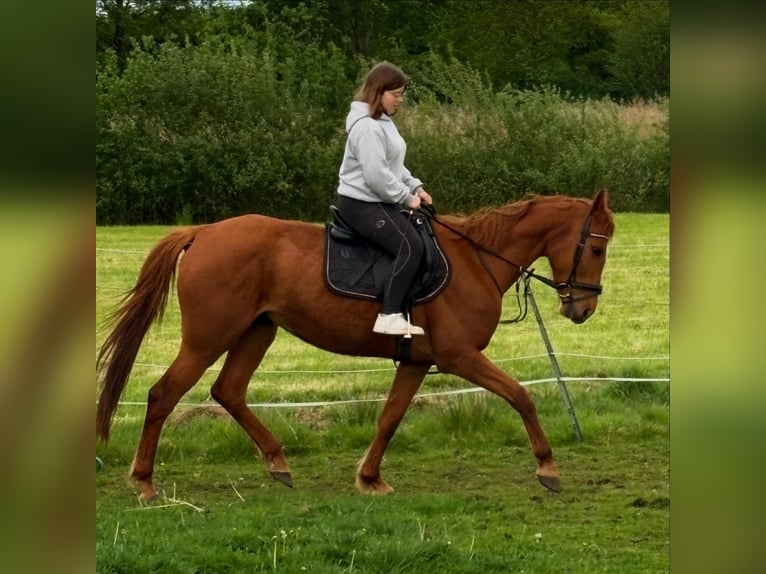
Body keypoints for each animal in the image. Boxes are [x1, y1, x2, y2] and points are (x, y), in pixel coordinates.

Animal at [97, 189, 614, 500]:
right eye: (595, 248)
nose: (583, 308)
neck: (476, 259)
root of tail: (203, 232)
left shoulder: (418, 362)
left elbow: (390, 418)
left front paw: (369, 477)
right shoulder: (459, 356)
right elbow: (521, 396)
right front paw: (548, 467)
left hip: (256, 331)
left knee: (229, 391)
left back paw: (277, 461)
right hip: (208, 338)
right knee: (164, 394)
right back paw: (144, 482)